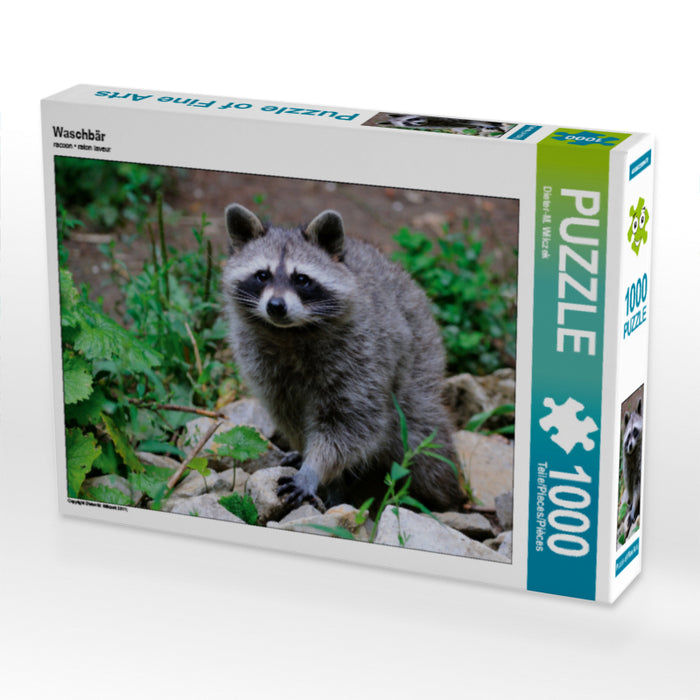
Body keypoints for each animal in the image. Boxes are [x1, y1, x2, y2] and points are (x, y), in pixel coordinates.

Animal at [222, 204, 466, 512]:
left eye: (301, 279)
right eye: (262, 275)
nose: (276, 306)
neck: (289, 333)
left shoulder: (362, 354)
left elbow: (353, 423)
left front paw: (314, 468)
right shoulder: (264, 364)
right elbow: (288, 413)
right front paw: (307, 453)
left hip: (420, 359)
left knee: (426, 444)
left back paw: (447, 498)